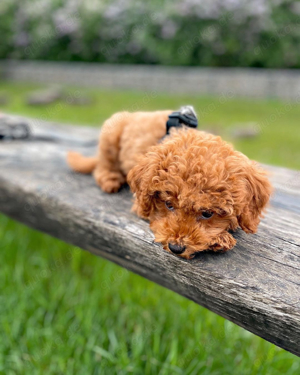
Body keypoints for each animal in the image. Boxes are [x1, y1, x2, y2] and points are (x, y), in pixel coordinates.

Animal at [67, 108, 272, 258]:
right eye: (168, 204)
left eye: (207, 213)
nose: (176, 248)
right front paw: (220, 239)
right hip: (111, 132)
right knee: (102, 164)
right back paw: (110, 178)